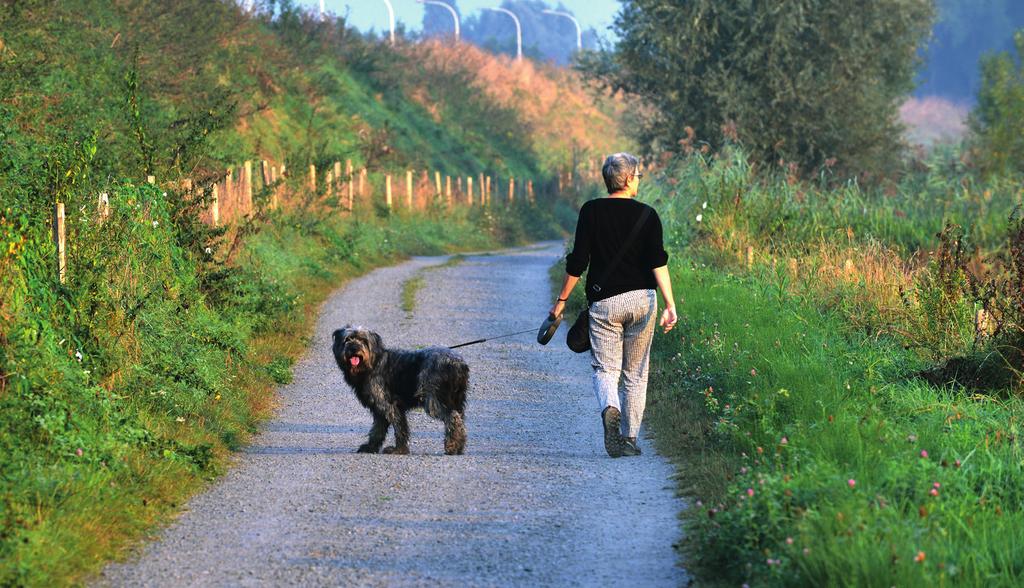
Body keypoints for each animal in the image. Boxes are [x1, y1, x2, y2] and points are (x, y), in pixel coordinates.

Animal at [331, 327, 468, 456]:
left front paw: (399, 450)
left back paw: (452, 446)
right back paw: (459, 446)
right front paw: (370, 447)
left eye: (364, 340)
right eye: (348, 339)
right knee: (460, 420)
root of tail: (457, 363)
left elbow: (399, 428)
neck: (372, 363)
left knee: (453, 417)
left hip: (432, 400)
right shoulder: (380, 410)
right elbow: (377, 430)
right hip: (456, 400)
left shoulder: (389, 406)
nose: (354, 348)